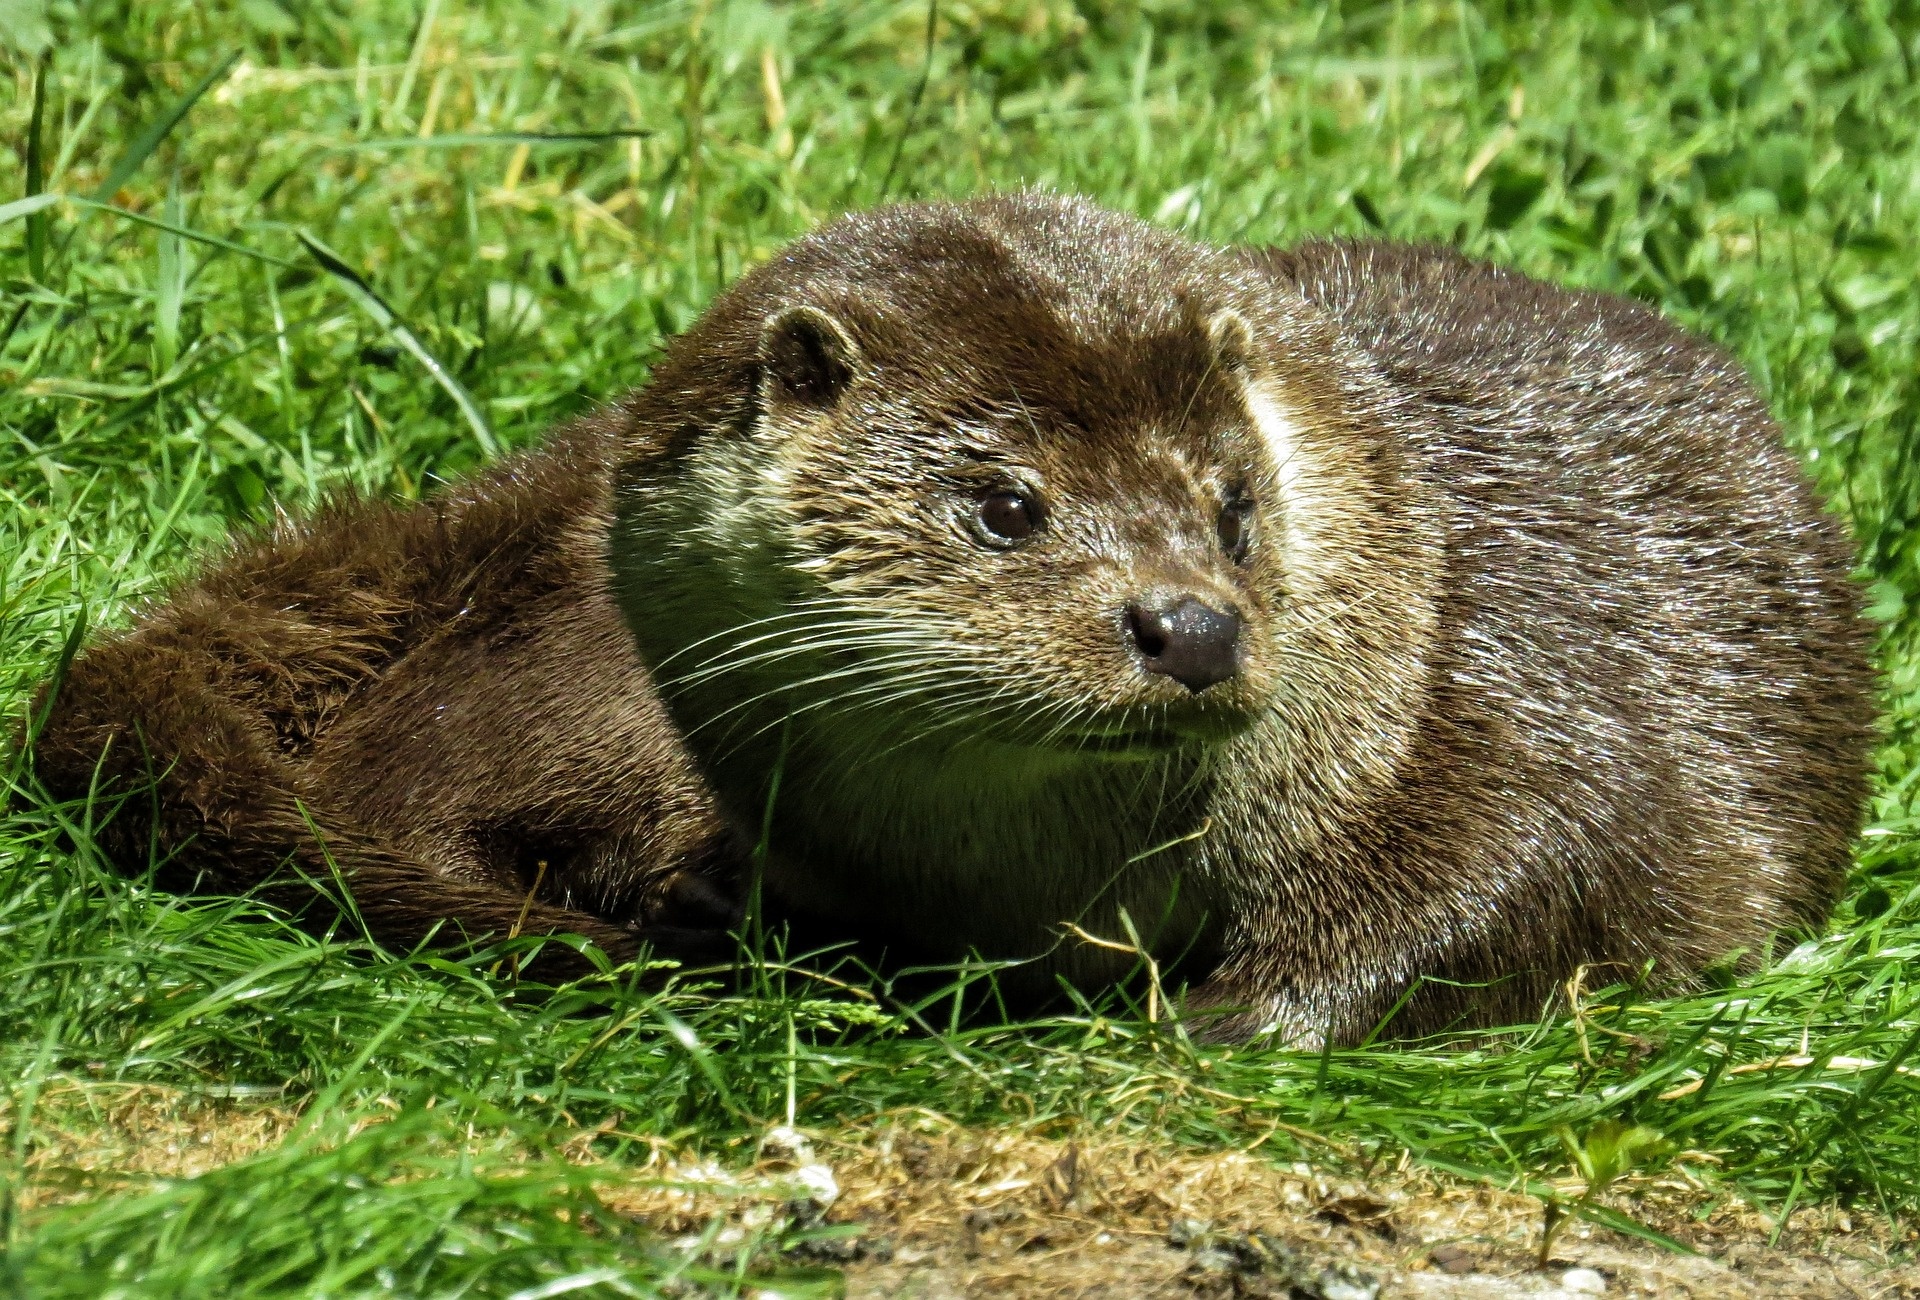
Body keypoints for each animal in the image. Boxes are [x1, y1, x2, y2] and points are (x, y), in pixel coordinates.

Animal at [18, 194, 1873, 1044]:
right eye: (1004, 505)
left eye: (1235, 505)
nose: (1192, 627)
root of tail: (478, 513)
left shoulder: (1499, 702)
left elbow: (1519, 872)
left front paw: (1215, 1024)